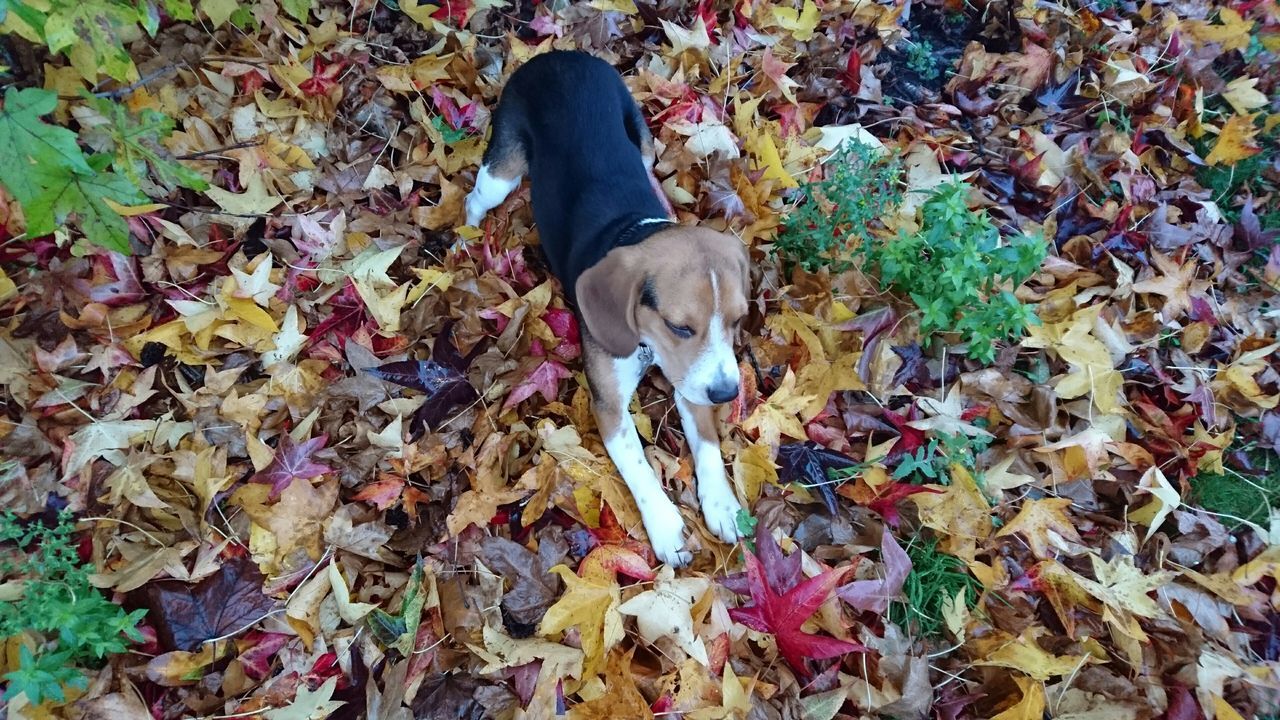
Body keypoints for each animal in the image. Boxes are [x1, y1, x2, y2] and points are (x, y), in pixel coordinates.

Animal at [463, 51, 747, 566]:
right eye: (680, 327)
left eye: (737, 321)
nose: (726, 394)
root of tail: (558, 55)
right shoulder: (610, 406)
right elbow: (638, 467)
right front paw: (667, 528)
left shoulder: (691, 380)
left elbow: (708, 445)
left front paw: (721, 503)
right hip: (502, 171)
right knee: (476, 200)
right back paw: (465, 241)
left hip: (644, 144)